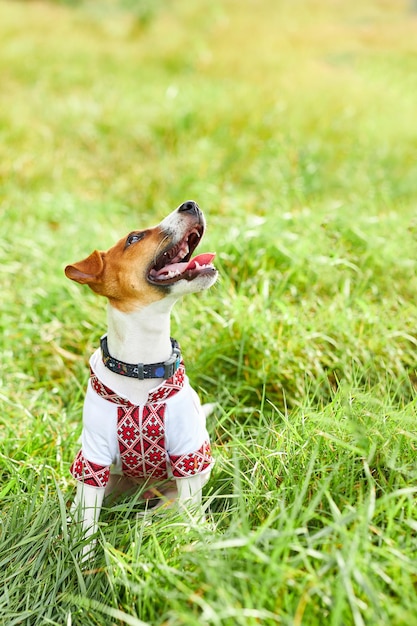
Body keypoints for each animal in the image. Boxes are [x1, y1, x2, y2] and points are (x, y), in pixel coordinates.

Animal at [64, 201, 218, 556]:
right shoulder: (93, 458)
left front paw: (193, 542)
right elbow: (88, 522)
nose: (191, 204)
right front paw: (84, 560)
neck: (142, 367)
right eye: (134, 238)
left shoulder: (189, 455)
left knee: (173, 509)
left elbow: (190, 511)